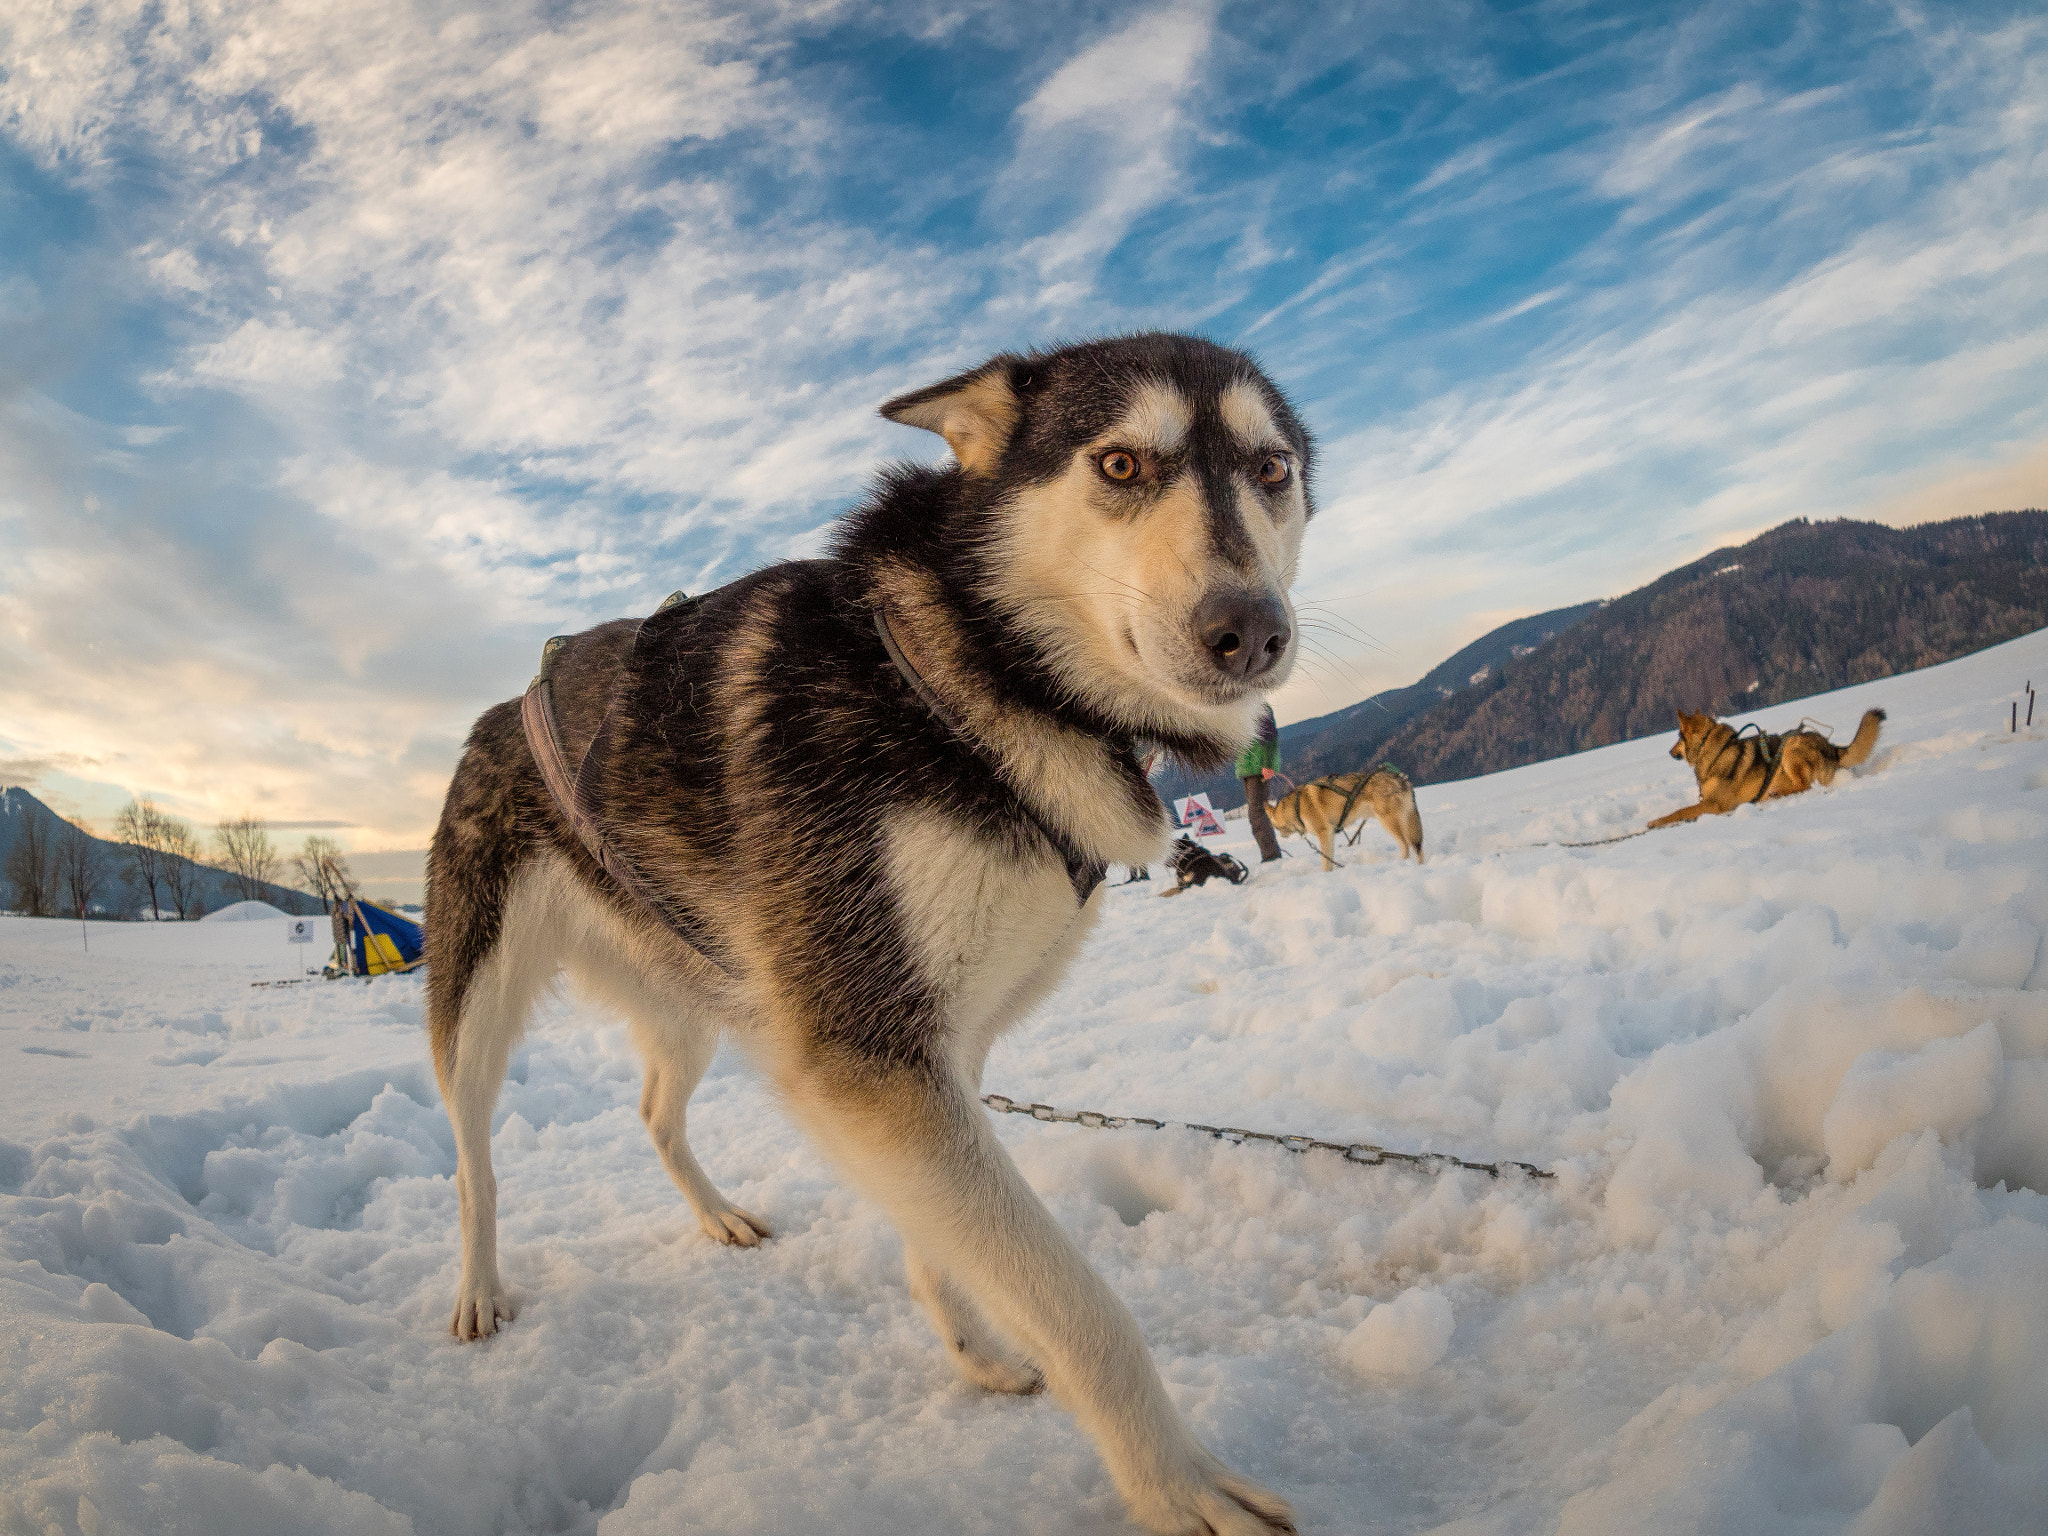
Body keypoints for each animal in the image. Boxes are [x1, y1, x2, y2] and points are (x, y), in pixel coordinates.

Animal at [430, 331, 1310, 1531]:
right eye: (1122, 464)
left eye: (1271, 469)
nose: (1249, 630)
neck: (972, 677)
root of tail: (498, 707)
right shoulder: (870, 1051)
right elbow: (1072, 1297)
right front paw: (1176, 1480)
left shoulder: (937, 1047)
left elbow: (960, 1236)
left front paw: (976, 1347)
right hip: (476, 1005)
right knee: (473, 1159)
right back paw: (477, 1289)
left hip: (699, 998)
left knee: (655, 1111)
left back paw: (720, 1218)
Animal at [1261, 765, 1425, 872]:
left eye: (1275, 828)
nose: (1281, 836)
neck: (1296, 807)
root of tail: (1402, 779)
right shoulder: (1330, 835)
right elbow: (1330, 859)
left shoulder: (1324, 833)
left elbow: (1325, 862)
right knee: (1417, 847)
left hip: (1389, 823)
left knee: (1406, 845)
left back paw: (1402, 864)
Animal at [1646, 708, 1884, 831]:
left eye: (1679, 737)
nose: (1669, 752)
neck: (1712, 749)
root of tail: (1832, 747)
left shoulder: (1715, 804)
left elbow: (1680, 811)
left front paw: (1655, 821)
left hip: (1791, 749)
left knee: (1805, 786)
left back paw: (1775, 794)